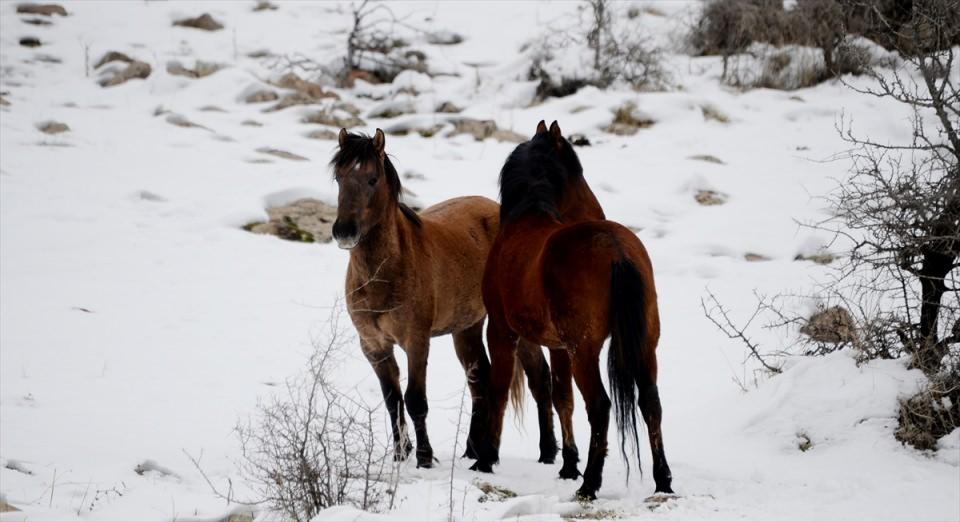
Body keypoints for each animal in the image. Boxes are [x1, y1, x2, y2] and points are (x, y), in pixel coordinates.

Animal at [330, 128, 560, 466]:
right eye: (339, 177)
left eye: (372, 179)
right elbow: (392, 400)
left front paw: (424, 458)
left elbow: (415, 400)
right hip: (467, 328)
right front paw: (401, 455)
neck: (385, 273)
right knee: (480, 378)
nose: (344, 231)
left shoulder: (416, 341)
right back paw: (472, 449)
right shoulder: (374, 346)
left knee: (539, 379)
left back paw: (547, 452)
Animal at [474, 120, 672, 498]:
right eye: (579, 174)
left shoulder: (501, 331)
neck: (525, 219)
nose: (598, 210)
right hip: (643, 345)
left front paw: (486, 457)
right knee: (650, 403)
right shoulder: (558, 346)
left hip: (585, 351)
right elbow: (561, 398)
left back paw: (590, 483)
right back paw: (663, 480)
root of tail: (616, 249)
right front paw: (568, 464)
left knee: (600, 406)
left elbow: (499, 390)